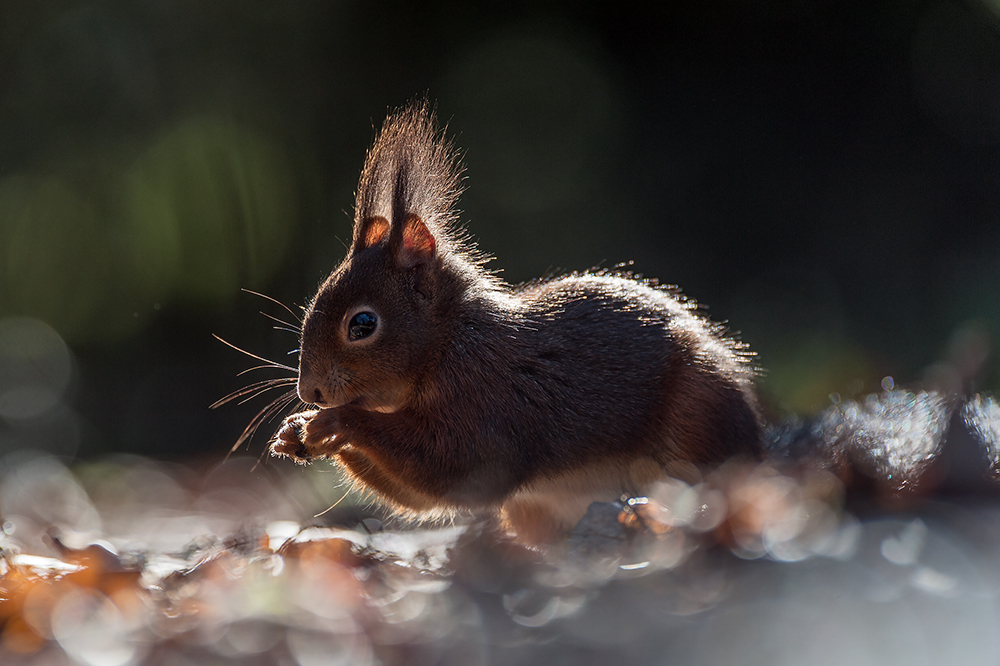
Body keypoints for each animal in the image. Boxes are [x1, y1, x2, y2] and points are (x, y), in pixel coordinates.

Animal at [270, 101, 760, 544]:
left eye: (362, 324)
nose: (309, 392)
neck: (449, 344)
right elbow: (419, 497)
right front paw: (296, 431)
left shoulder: (491, 404)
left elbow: (454, 471)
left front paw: (335, 422)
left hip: (698, 414)